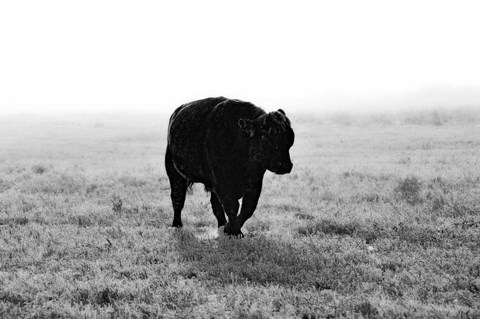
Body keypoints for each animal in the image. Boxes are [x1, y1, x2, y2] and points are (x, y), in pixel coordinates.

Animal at [165, 97, 294, 238]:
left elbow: (248, 208)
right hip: (174, 172)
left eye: (290, 138)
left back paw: (221, 225)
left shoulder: (255, 183)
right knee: (177, 198)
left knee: (215, 205)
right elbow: (232, 206)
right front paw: (233, 230)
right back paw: (176, 225)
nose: (285, 166)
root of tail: (176, 112)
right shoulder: (222, 184)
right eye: (265, 136)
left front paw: (230, 229)